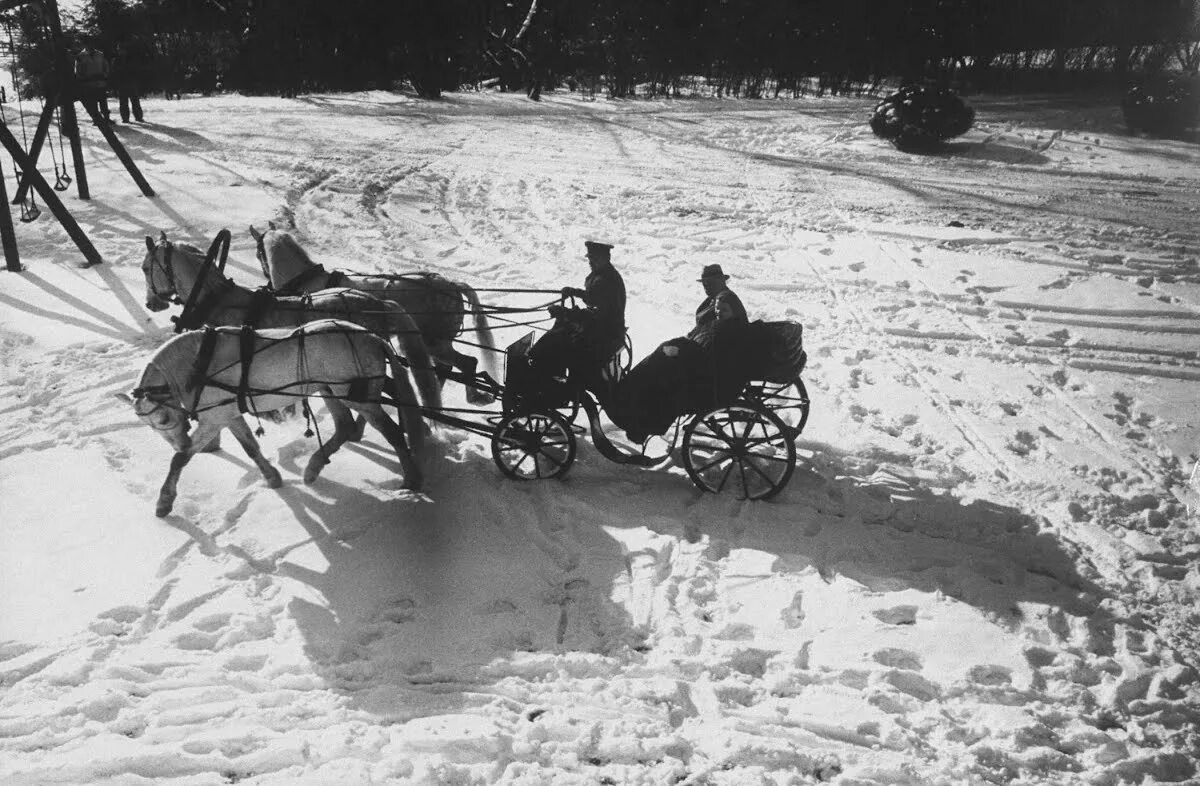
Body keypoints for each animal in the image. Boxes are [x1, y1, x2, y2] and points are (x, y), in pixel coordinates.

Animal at [125, 319, 427, 516]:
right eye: (153, 427)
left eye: (163, 420)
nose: (179, 441)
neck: (199, 361)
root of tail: (374, 338)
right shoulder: (228, 415)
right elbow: (250, 447)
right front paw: (272, 477)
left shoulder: (214, 418)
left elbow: (180, 459)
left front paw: (164, 502)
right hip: (328, 389)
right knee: (344, 426)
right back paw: (313, 469)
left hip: (356, 397)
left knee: (391, 431)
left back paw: (411, 481)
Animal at [250, 223, 499, 403]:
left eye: (257, 253)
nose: (267, 283)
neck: (307, 285)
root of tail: (452, 284)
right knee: (450, 367)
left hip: (435, 342)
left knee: (466, 363)